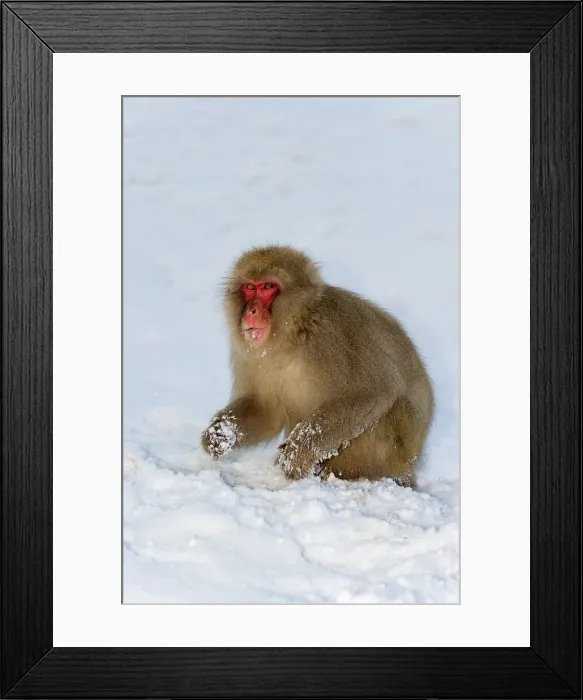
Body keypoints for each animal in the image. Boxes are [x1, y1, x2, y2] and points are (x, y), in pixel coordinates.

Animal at [201, 245, 434, 487]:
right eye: (249, 288)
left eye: (268, 287)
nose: (252, 311)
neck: (293, 335)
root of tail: (408, 468)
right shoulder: (251, 356)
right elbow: (267, 409)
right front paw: (220, 433)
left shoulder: (331, 333)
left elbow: (373, 392)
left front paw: (297, 453)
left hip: (390, 452)